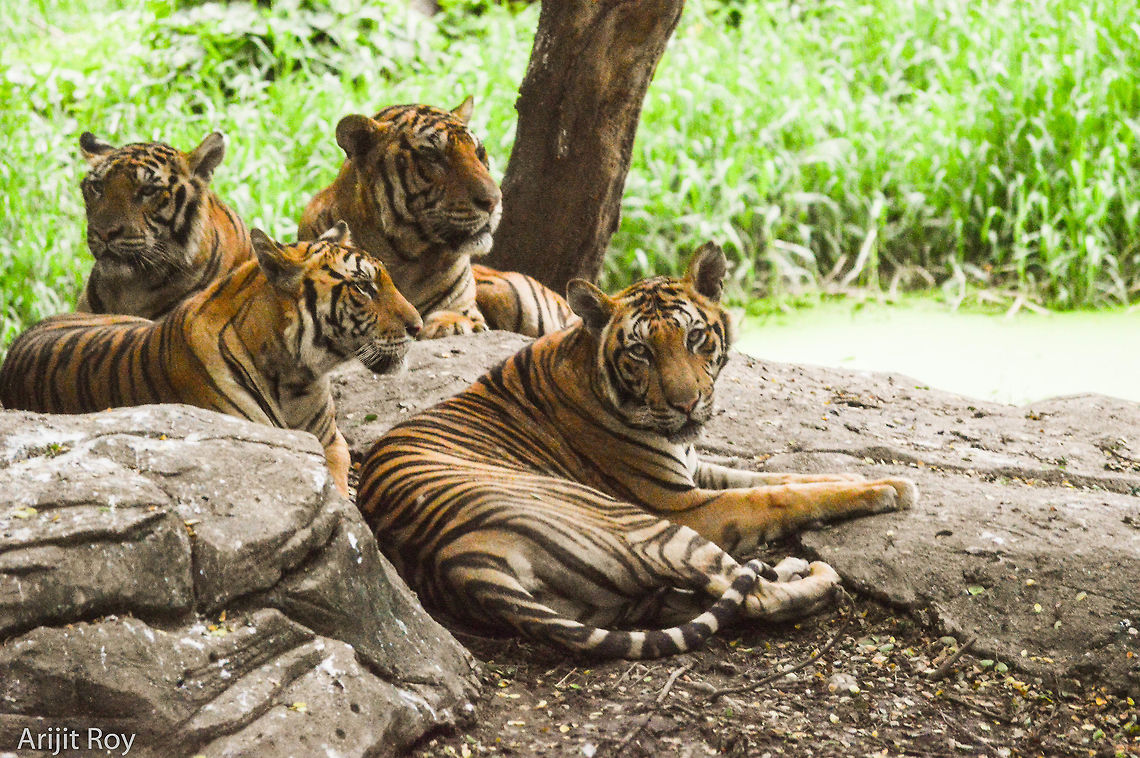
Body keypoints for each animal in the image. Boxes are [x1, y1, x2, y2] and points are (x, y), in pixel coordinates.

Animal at [298, 97, 577, 340]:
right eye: (433, 156)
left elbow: (459, 316)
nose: (494, 200)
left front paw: (453, 325)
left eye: (479, 153)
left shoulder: (465, 306)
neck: (404, 258)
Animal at [356, 242, 918, 659]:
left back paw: (789, 566)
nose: (688, 404)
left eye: (695, 337)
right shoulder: (683, 503)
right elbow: (781, 497)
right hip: (648, 528)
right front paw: (896, 489)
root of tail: (458, 563)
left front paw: (874, 478)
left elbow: (790, 479)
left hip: (610, 603)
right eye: (641, 351)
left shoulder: (697, 472)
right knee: (755, 596)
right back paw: (816, 574)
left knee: (711, 595)